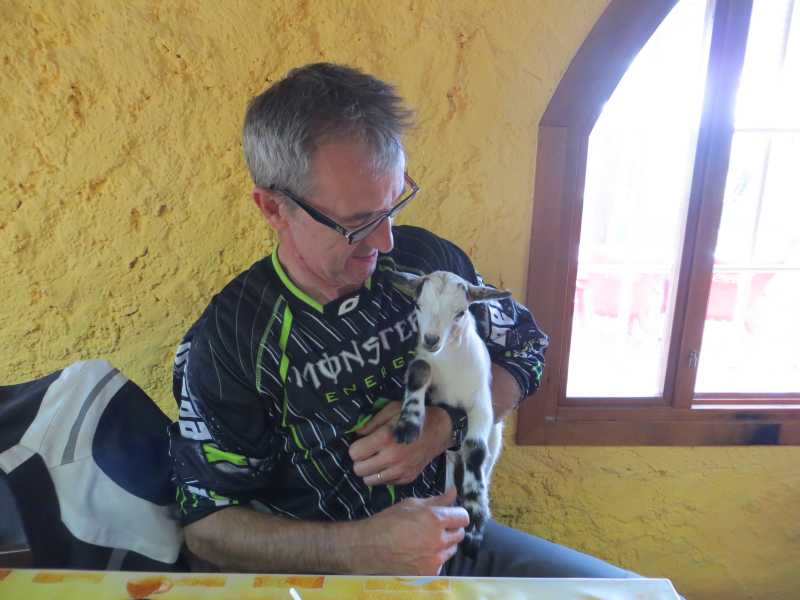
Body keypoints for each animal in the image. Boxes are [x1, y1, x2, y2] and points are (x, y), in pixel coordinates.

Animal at [387, 270, 510, 556]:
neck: (449, 359)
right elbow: (419, 371)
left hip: (494, 444)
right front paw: (409, 423)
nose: (432, 339)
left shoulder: (482, 407)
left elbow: (475, 449)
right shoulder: (425, 364)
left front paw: (475, 513)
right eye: (418, 305)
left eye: (460, 312)